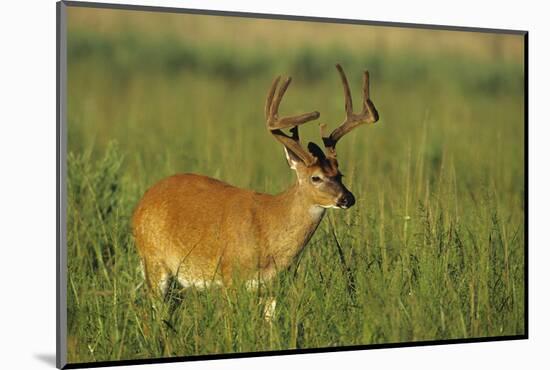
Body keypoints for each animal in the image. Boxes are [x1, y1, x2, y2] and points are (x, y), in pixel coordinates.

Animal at [132, 63, 382, 318]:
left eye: (340, 174)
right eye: (316, 177)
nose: (347, 198)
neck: (270, 229)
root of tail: (142, 202)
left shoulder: (275, 286)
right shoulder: (230, 276)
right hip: (153, 263)